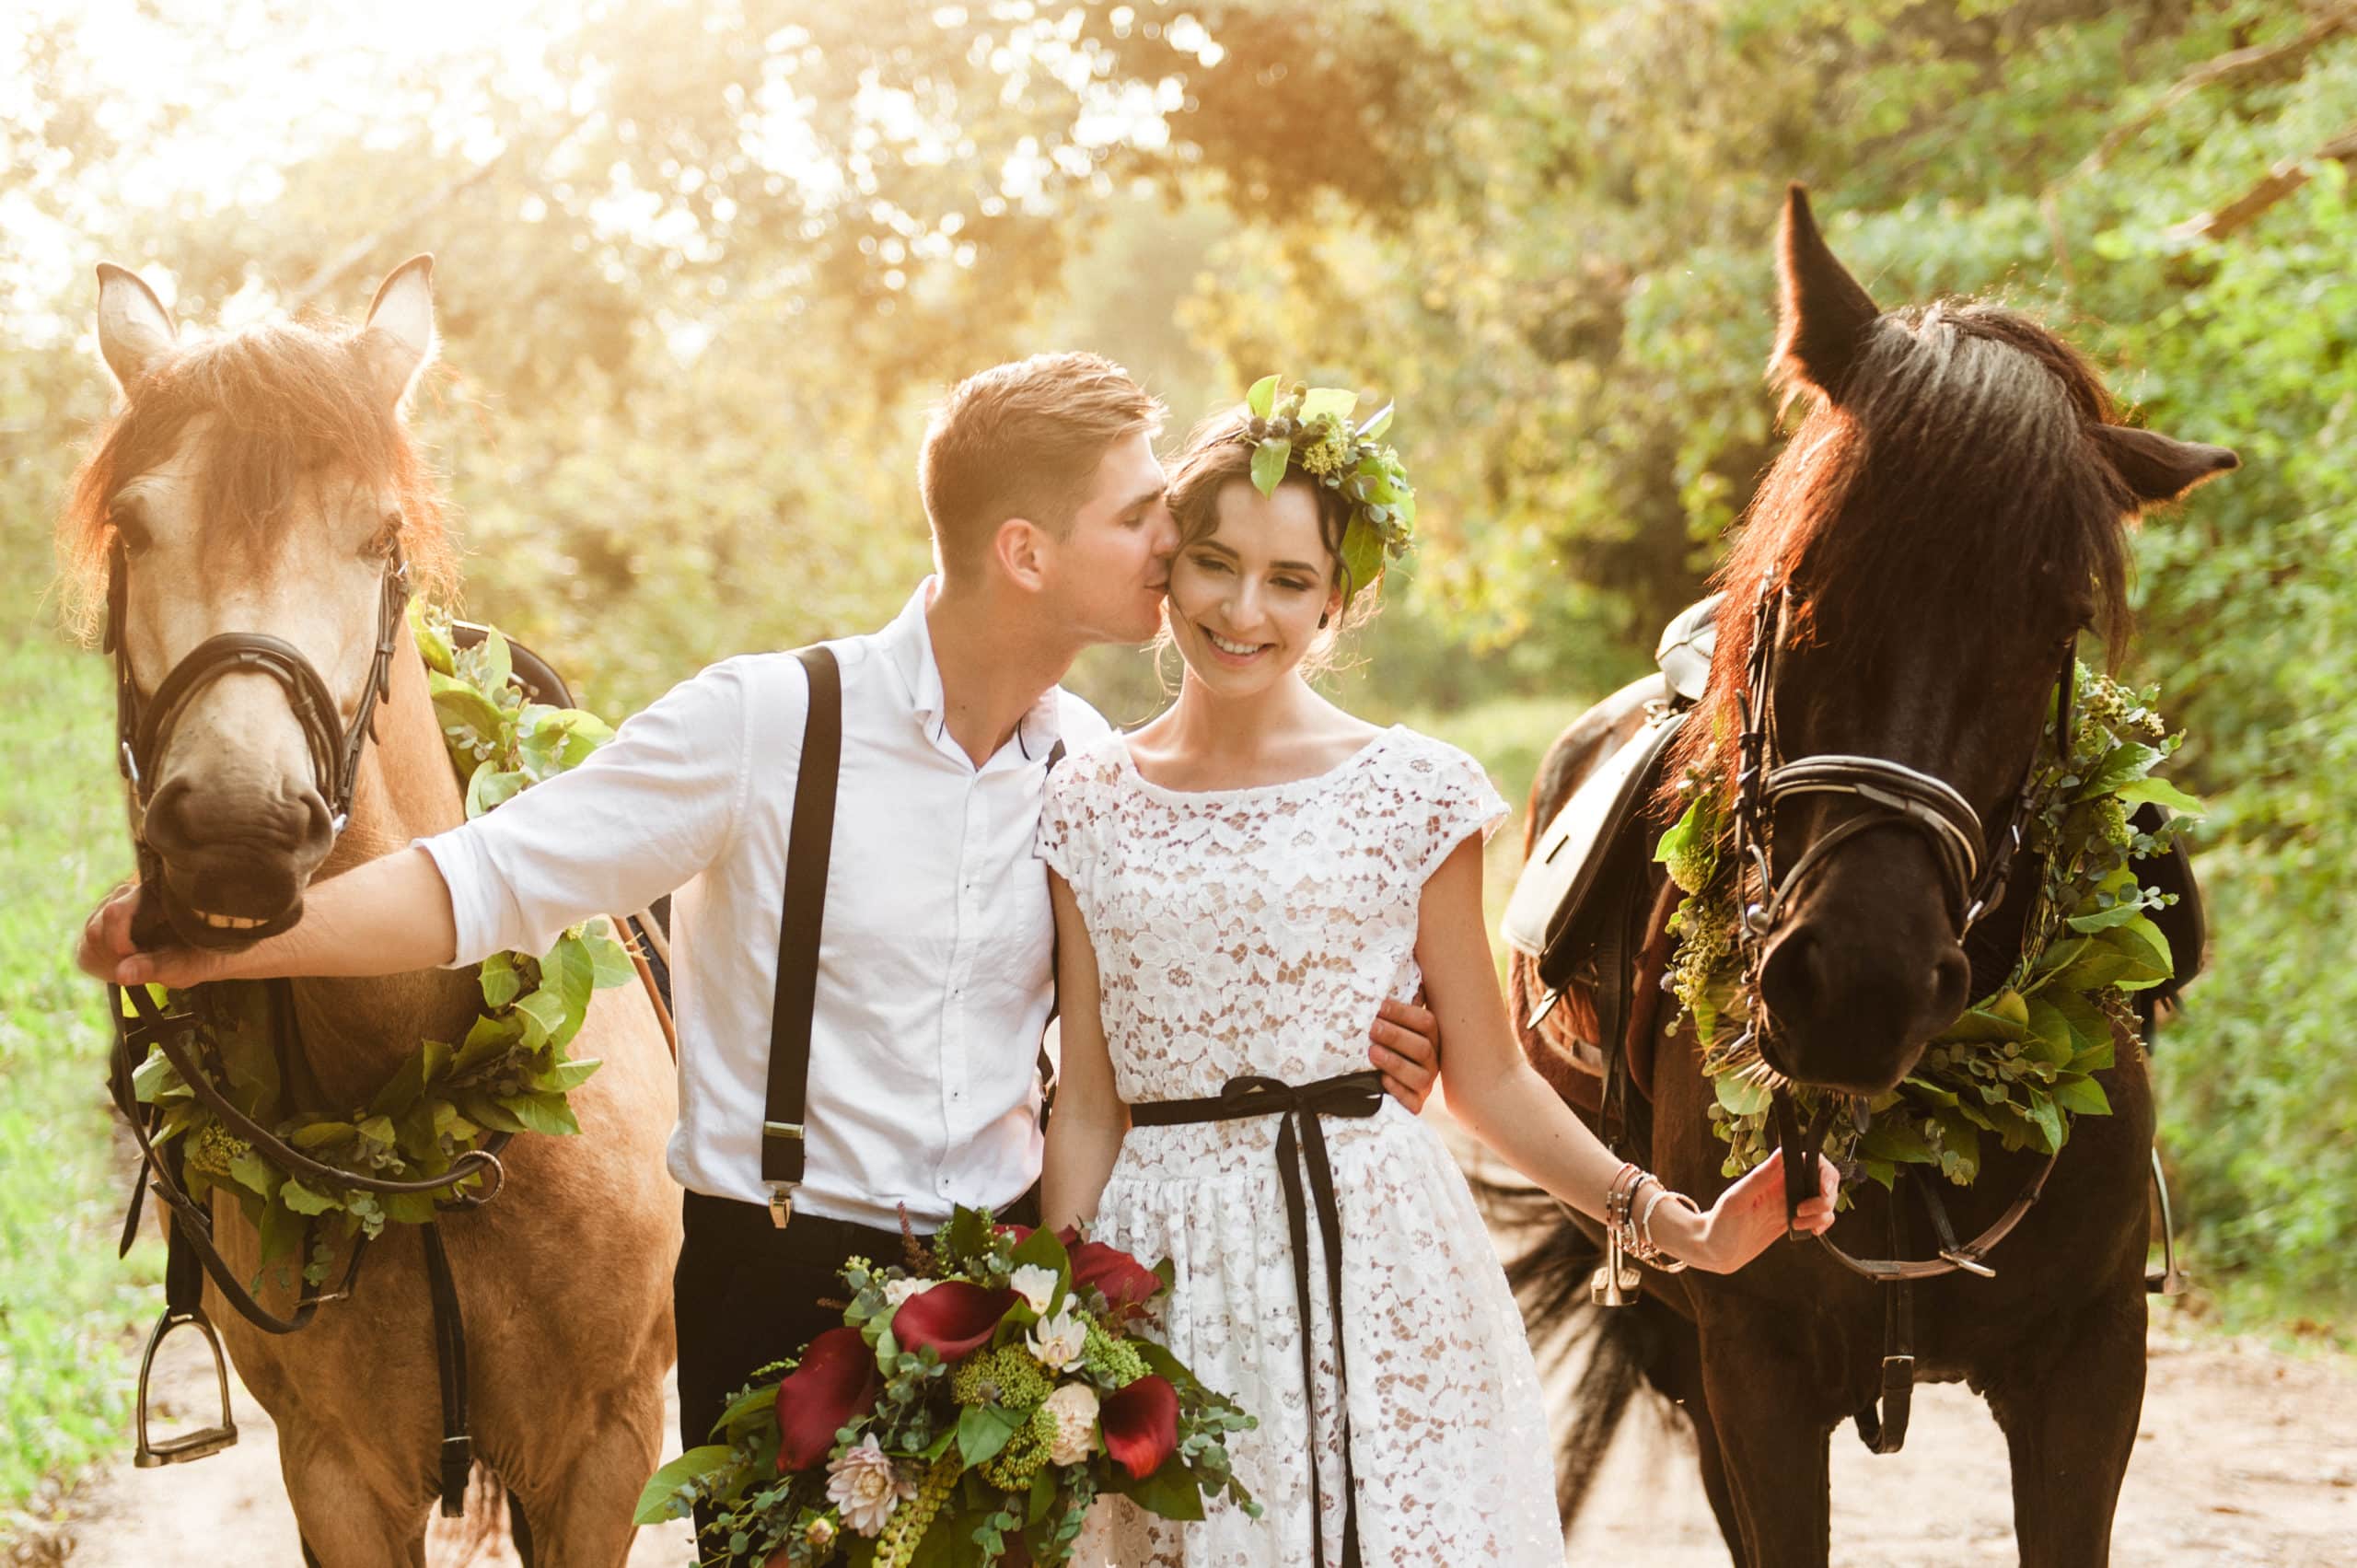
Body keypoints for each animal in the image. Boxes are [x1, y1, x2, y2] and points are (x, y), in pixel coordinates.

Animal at [59, 259, 683, 1565]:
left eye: (380, 533)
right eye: (135, 528)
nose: (236, 826)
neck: (412, 1119)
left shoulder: (600, 1452)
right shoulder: (335, 1471)